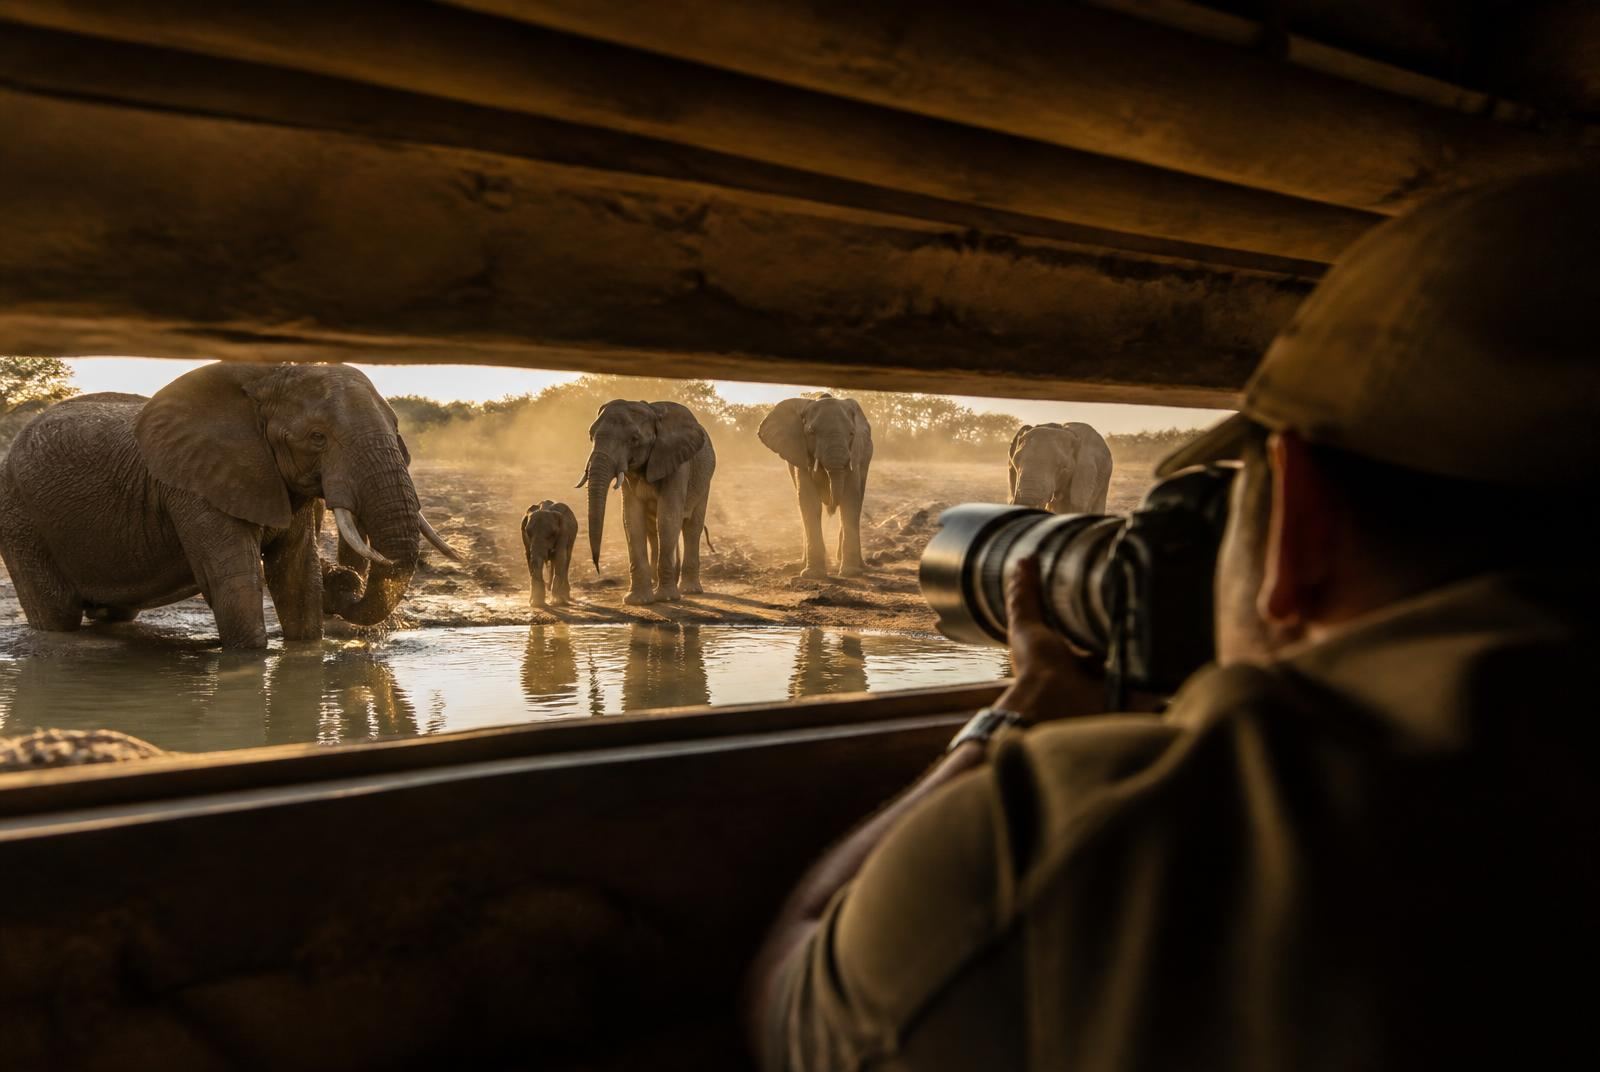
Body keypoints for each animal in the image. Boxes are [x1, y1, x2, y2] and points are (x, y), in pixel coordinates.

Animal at [0, 362, 458, 649]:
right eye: (317, 438)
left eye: (396, 428)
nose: (345, 579)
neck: (267, 379)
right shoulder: (192, 486)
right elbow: (234, 580)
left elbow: (297, 576)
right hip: (19, 517)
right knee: (57, 612)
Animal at [576, 400, 715, 605]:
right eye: (591, 435)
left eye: (634, 439)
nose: (597, 568)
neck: (652, 411)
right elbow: (632, 519)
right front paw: (638, 601)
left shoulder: (678, 464)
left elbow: (668, 517)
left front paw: (666, 598)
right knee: (653, 530)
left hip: (704, 482)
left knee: (691, 527)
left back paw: (689, 590)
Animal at [758, 394, 873, 578]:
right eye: (811, 432)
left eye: (852, 433)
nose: (831, 506)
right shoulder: (799, 454)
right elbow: (809, 501)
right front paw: (813, 575)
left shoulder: (855, 454)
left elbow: (850, 500)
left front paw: (850, 573)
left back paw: (859, 566)